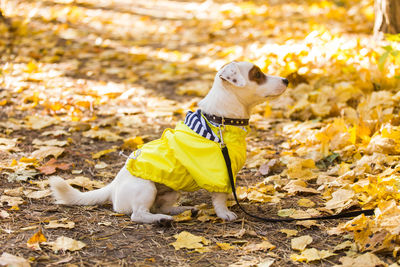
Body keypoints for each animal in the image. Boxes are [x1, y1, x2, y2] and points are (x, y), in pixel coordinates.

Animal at [50, 61, 288, 225]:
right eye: (257, 74)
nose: (286, 80)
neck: (219, 121)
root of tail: (113, 186)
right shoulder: (218, 172)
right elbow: (220, 198)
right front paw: (225, 213)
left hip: (172, 190)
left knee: (160, 207)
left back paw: (183, 211)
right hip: (145, 188)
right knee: (139, 214)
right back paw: (161, 220)